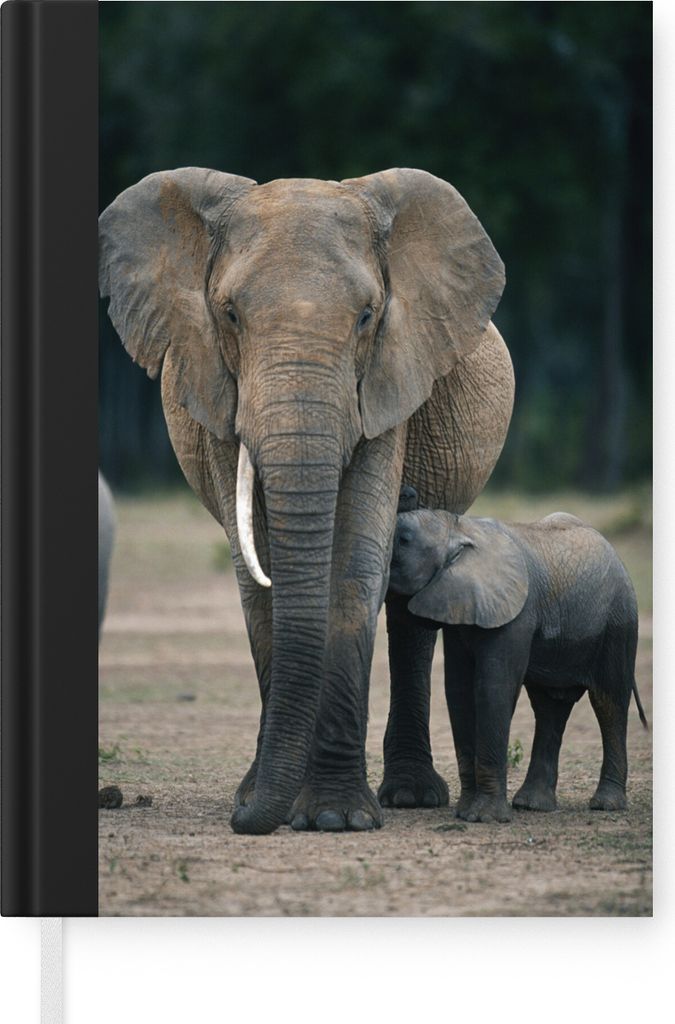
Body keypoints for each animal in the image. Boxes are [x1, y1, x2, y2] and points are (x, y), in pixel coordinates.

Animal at [99, 166, 515, 835]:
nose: (243, 820)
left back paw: (410, 796)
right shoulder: (217, 391)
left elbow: (351, 570)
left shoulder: (387, 380)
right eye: (230, 314)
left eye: (368, 315)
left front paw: (335, 817)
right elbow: (257, 577)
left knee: (411, 611)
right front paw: (268, 804)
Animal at [387, 506, 647, 822]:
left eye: (403, 540)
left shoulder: (516, 615)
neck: (461, 528)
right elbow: (459, 692)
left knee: (609, 702)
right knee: (550, 707)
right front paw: (465, 813)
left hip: (618, 623)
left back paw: (605, 805)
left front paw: (483, 818)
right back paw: (531, 805)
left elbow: (493, 689)